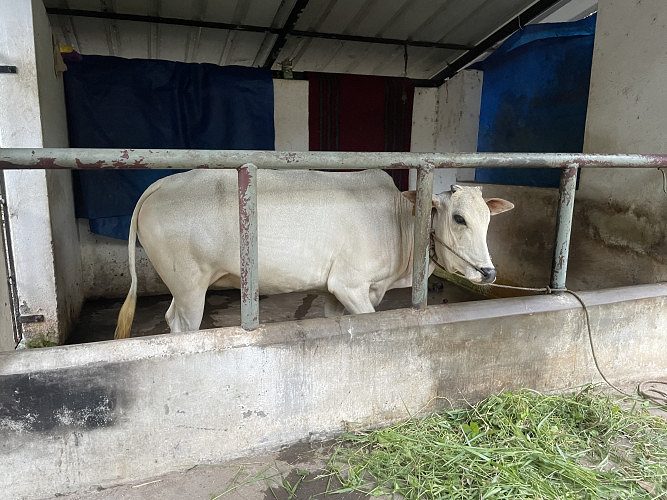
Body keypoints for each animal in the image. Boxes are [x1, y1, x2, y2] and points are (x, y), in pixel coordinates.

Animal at [114, 169, 513, 339]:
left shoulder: (334, 291)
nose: (488, 272)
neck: (400, 219)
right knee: (183, 326)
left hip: (182, 287)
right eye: (459, 218)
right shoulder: (350, 284)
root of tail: (159, 183)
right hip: (191, 286)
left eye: (488, 219)